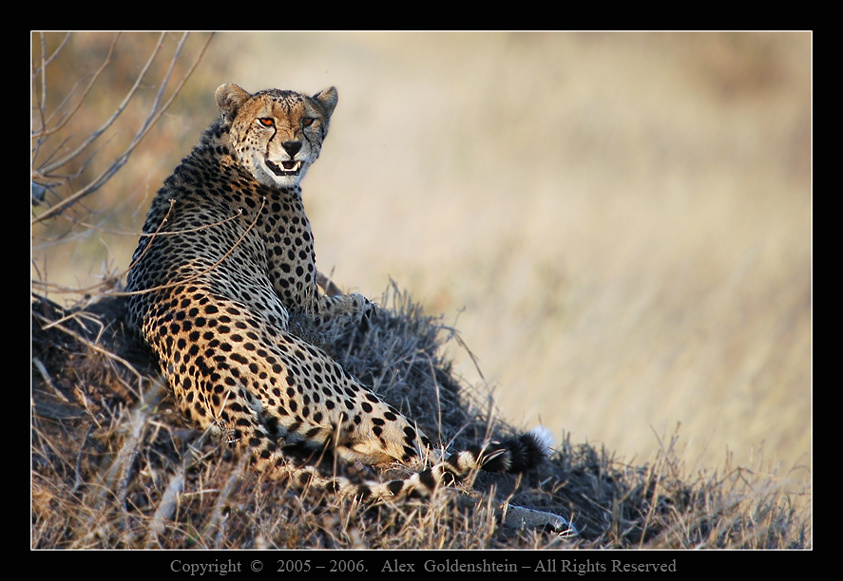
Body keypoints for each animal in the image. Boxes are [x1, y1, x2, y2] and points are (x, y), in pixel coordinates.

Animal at [125, 82, 554, 503]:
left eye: (308, 121)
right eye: (267, 121)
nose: (292, 147)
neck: (227, 151)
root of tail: (216, 377)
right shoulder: (302, 305)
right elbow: (354, 303)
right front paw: (369, 308)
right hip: (349, 390)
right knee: (429, 459)